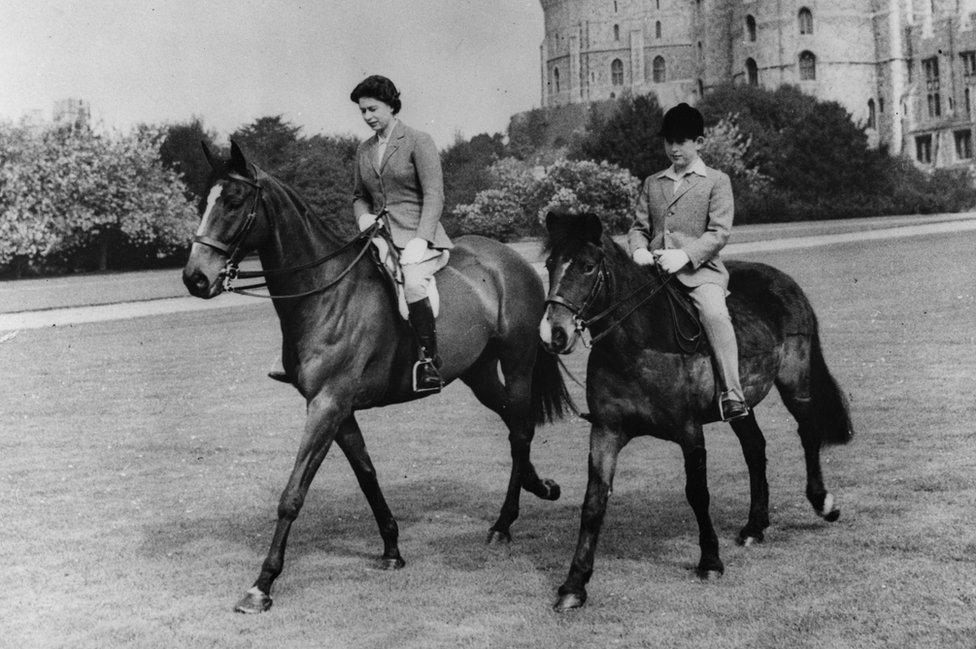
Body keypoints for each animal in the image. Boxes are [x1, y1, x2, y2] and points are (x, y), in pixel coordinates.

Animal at [183, 143, 572, 612]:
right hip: (477, 373)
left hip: (516, 364)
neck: (326, 292)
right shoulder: (338, 409)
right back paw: (539, 488)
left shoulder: (327, 406)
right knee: (515, 423)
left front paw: (262, 585)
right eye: (204, 201)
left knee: (520, 430)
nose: (195, 278)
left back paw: (504, 522)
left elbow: (293, 494)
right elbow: (367, 475)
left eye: (234, 201)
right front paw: (391, 549)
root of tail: (513, 260)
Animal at [536, 211, 852, 608]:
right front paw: (574, 585)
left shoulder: (689, 431)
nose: (553, 334)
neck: (637, 344)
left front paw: (711, 561)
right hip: (740, 403)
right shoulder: (606, 431)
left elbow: (698, 494)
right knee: (755, 448)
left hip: (796, 382)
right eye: (550, 264)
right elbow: (593, 502)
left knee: (807, 432)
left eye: (587, 266)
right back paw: (755, 526)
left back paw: (823, 502)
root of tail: (785, 283)